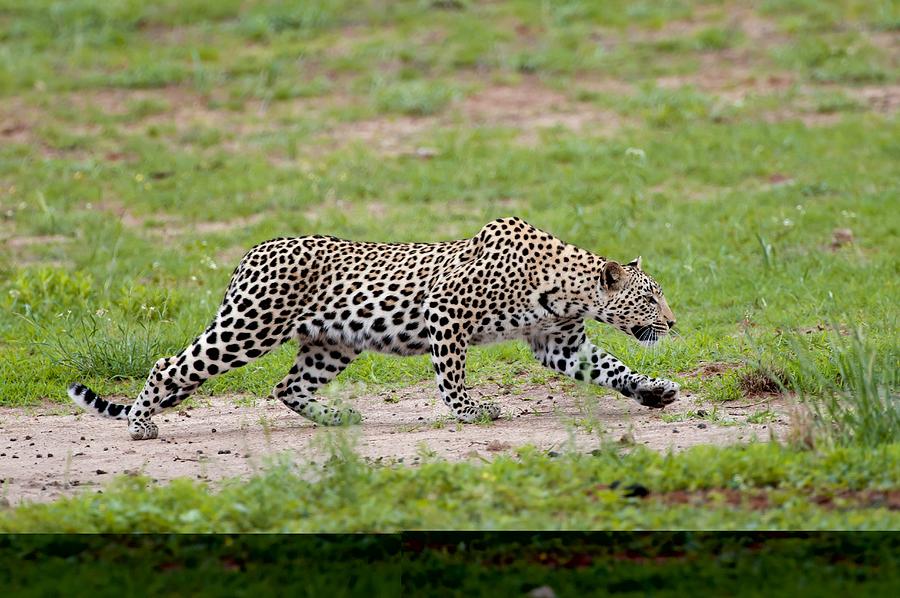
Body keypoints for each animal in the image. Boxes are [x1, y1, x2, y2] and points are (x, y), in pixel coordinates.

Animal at [68, 217, 676, 440]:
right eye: (650, 297)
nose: (672, 322)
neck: (569, 286)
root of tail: (253, 251)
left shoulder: (559, 343)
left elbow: (612, 369)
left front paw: (654, 391)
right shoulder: (446, 312)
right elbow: (451, 374)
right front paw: (472, 411)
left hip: (331, 343)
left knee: (287, 386)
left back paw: (338, 419)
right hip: (249, 328)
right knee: (169, 365)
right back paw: (140, 422)